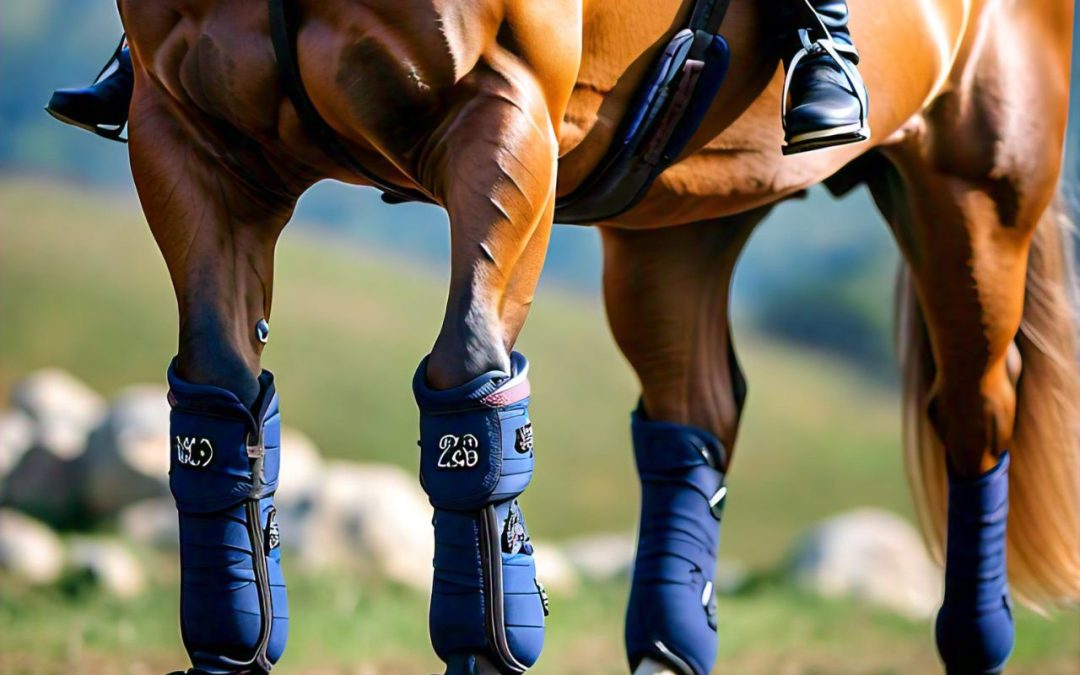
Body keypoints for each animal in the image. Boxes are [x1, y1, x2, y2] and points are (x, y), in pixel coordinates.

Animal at [116, 0, 1079, 673]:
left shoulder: (501, 118)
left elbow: (473, 433)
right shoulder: (188, 139)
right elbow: (220, 435)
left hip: (977, 199)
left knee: (975, 415)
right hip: (679, 219)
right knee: (695, 422)